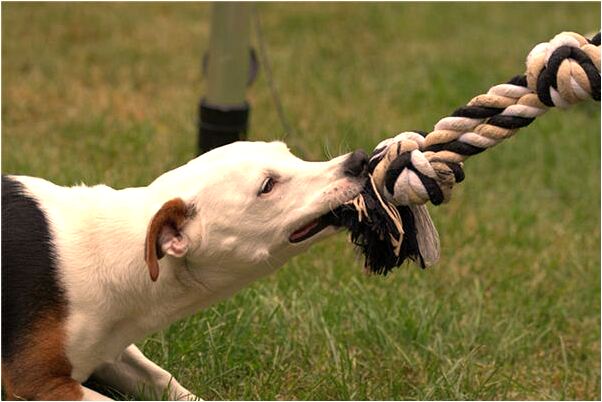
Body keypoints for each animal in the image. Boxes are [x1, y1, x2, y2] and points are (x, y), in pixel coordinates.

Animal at [0, 141, 368, 398]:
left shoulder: (110, 350)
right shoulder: (34, 381)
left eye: (290, 154)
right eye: (267, 186)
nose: (359, 160)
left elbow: (162, 378)